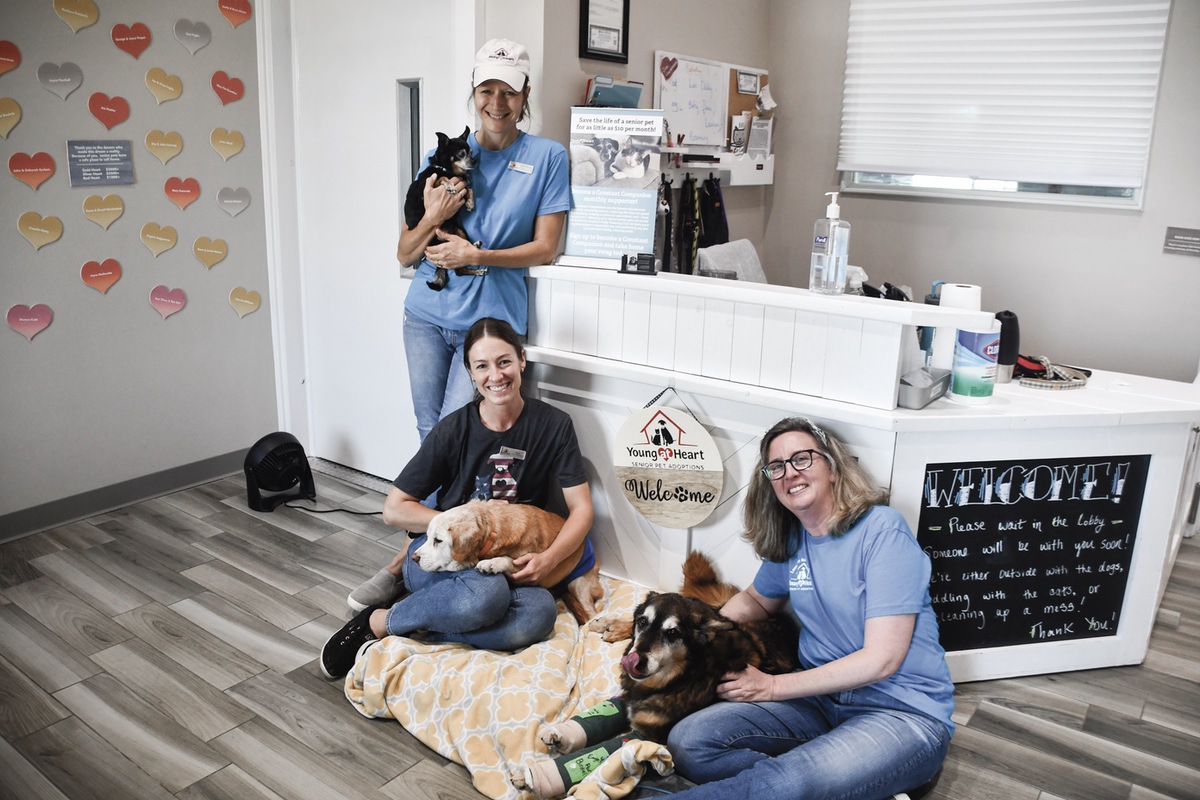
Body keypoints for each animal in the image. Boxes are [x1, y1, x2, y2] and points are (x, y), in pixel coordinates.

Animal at [403, 123, 477, 289]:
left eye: (471, 152)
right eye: (461, 154)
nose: (475, 161)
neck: (450, 170)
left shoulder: (463, 183)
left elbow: (469, 188)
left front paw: (470, 202)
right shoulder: (425, 187)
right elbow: (440, 176)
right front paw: (449, 185)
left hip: (460, 233)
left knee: (461, 264)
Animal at [415, 501, 604, 623]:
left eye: (438, 540)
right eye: (427, 536)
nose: (414, 558)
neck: (493, 529)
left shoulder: (530, 564)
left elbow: (509, 560)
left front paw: (492, 563)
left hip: (578, 583)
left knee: (591, 614)